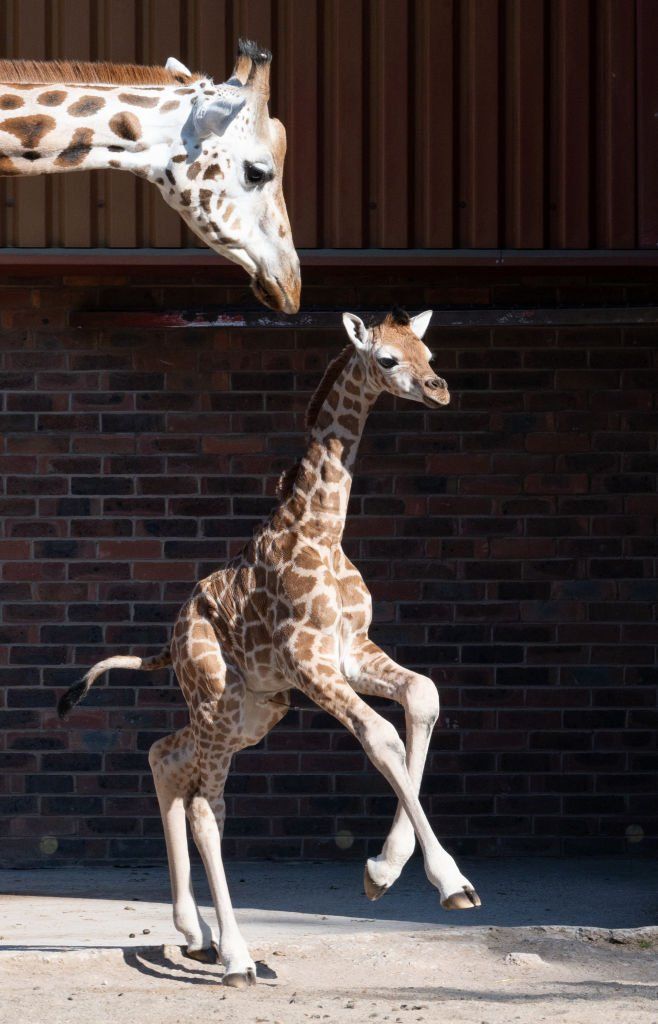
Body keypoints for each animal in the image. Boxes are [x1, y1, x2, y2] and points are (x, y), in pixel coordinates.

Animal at [59, 307, 480, 987]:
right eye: (387, 359)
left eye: (429, 351)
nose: (438, 388)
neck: (320, 530)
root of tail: (170, 641)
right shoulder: (309, 662)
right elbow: (381, 736)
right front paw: (449, 882)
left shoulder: (350, 652)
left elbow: (422, 696)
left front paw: (383, 871)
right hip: (220, 702)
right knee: (208, 805)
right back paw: (235, 955)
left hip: (253, 711)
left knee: (164, 756)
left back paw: (195, 933)